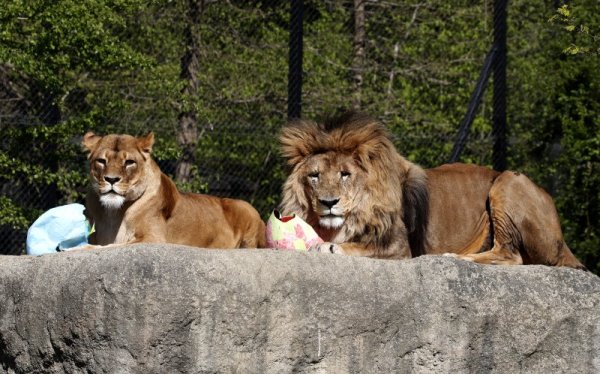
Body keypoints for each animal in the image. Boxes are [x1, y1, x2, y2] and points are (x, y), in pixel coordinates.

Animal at [82, 131, 264, 248]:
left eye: (129, 162)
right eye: (101, 161)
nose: (111, 179)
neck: (114, 213)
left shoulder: (154, 238)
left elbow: (107, 247)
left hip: (245, 206)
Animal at [280, 111, 584, 268]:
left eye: (345, 175)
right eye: (314, 176)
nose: (328, 202)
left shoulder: (400, 248)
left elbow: (359, 246)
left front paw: (330, 248)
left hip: (508, 181)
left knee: (512, 255)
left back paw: (455, 257)